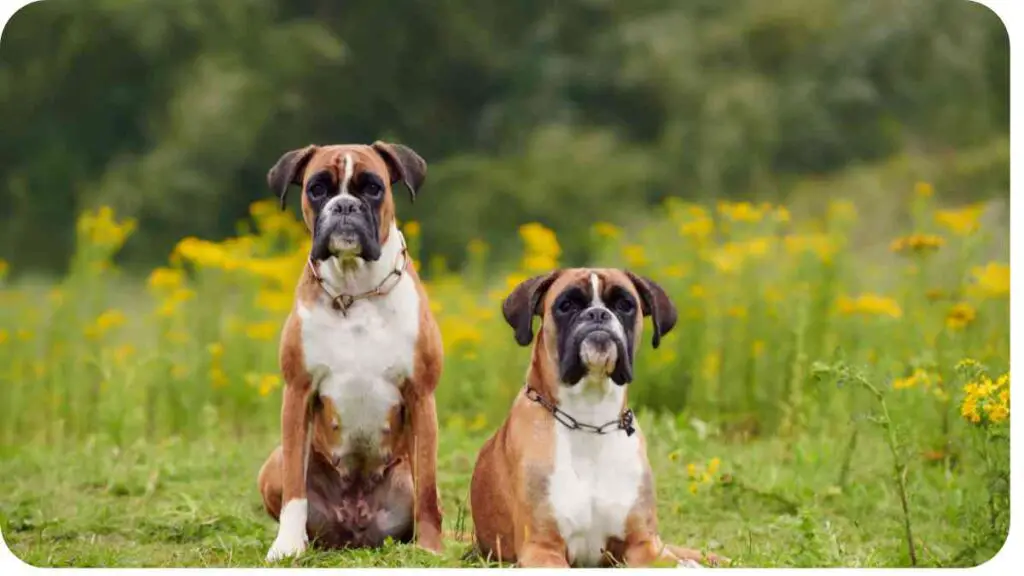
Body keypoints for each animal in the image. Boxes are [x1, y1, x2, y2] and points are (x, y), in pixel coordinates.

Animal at [256, 141, 444, 557]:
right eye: (317, 189)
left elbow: (428, 489)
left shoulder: (422, 395)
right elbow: (294, 487)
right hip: (271, 464)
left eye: (373, 187)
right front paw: (287, 546)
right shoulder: (297, 393)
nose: (343, 206)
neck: (355, 291)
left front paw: (429, 549)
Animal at [468, 268, 724, 565]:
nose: (598, 314)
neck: (590, 419)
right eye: (567, 305)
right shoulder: (542, 547)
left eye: (624, 304)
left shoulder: (644, 544)